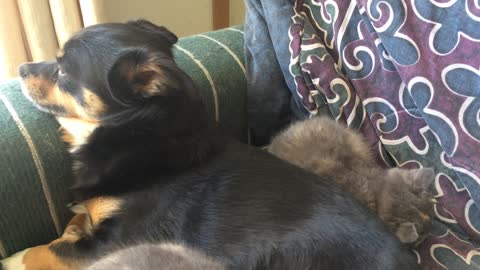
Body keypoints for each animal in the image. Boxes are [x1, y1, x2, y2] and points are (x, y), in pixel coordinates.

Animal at [1, 19, 418, 270]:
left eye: (63, 72)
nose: (20, 68)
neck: (135, 130)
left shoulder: (114, 243)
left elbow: (48, 250)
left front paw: (15, 257)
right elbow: (74, 223)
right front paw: (74, 222)